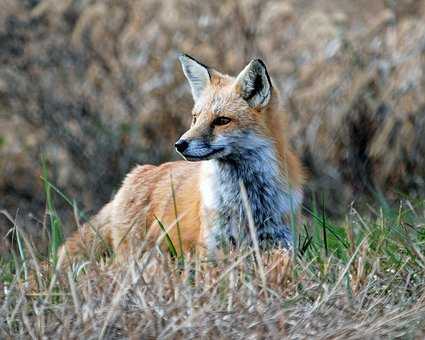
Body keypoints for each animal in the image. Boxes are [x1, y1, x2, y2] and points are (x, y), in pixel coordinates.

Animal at [60, 54, 304, 264]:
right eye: (195, 118)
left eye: (222, 120)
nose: (180, 144)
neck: (245, 202)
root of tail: (136, 174)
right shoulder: (212, 248)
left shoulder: (279, 243)